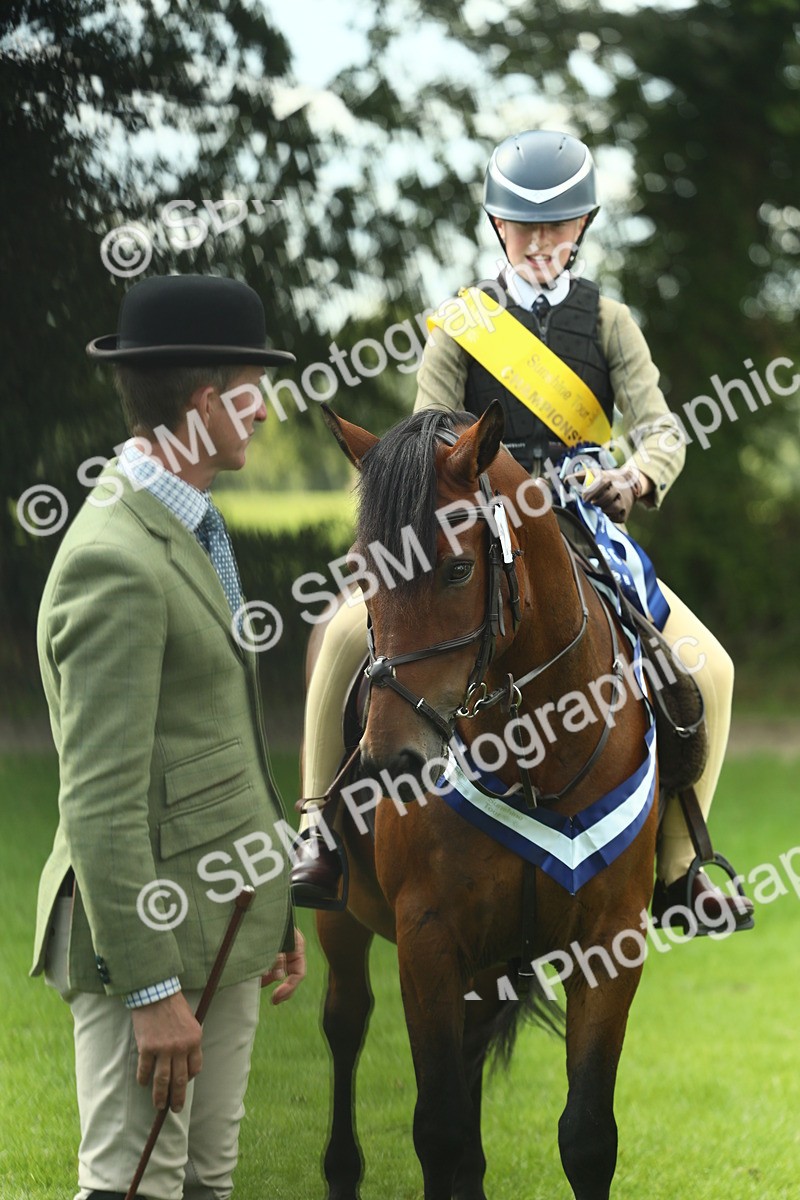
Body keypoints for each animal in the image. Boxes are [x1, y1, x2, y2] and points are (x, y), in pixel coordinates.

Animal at [309, 401, 659, 1200]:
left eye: (459, 567)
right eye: (362, 571)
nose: (390, 762)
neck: (537, 748)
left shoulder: (611, 941)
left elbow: (587, 1138)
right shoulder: (428, 937)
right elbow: (437, 1130)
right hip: (344, 922)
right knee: (346, 1024)